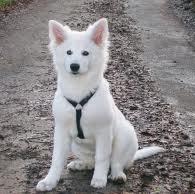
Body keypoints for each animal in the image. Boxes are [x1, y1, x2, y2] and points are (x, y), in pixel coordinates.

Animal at [35, 17, 164, 191]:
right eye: (68, 52)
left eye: (85, 53)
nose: (74, 66)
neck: (79, 90)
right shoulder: (61, 131)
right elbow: (56, 160)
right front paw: (49, 181)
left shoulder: (104, 131)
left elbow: (102, 157)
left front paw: (99, 179)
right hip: (76, 144)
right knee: (91, 161)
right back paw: (81, 164)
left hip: (124, 135)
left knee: (115, 162)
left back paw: (116, 175)